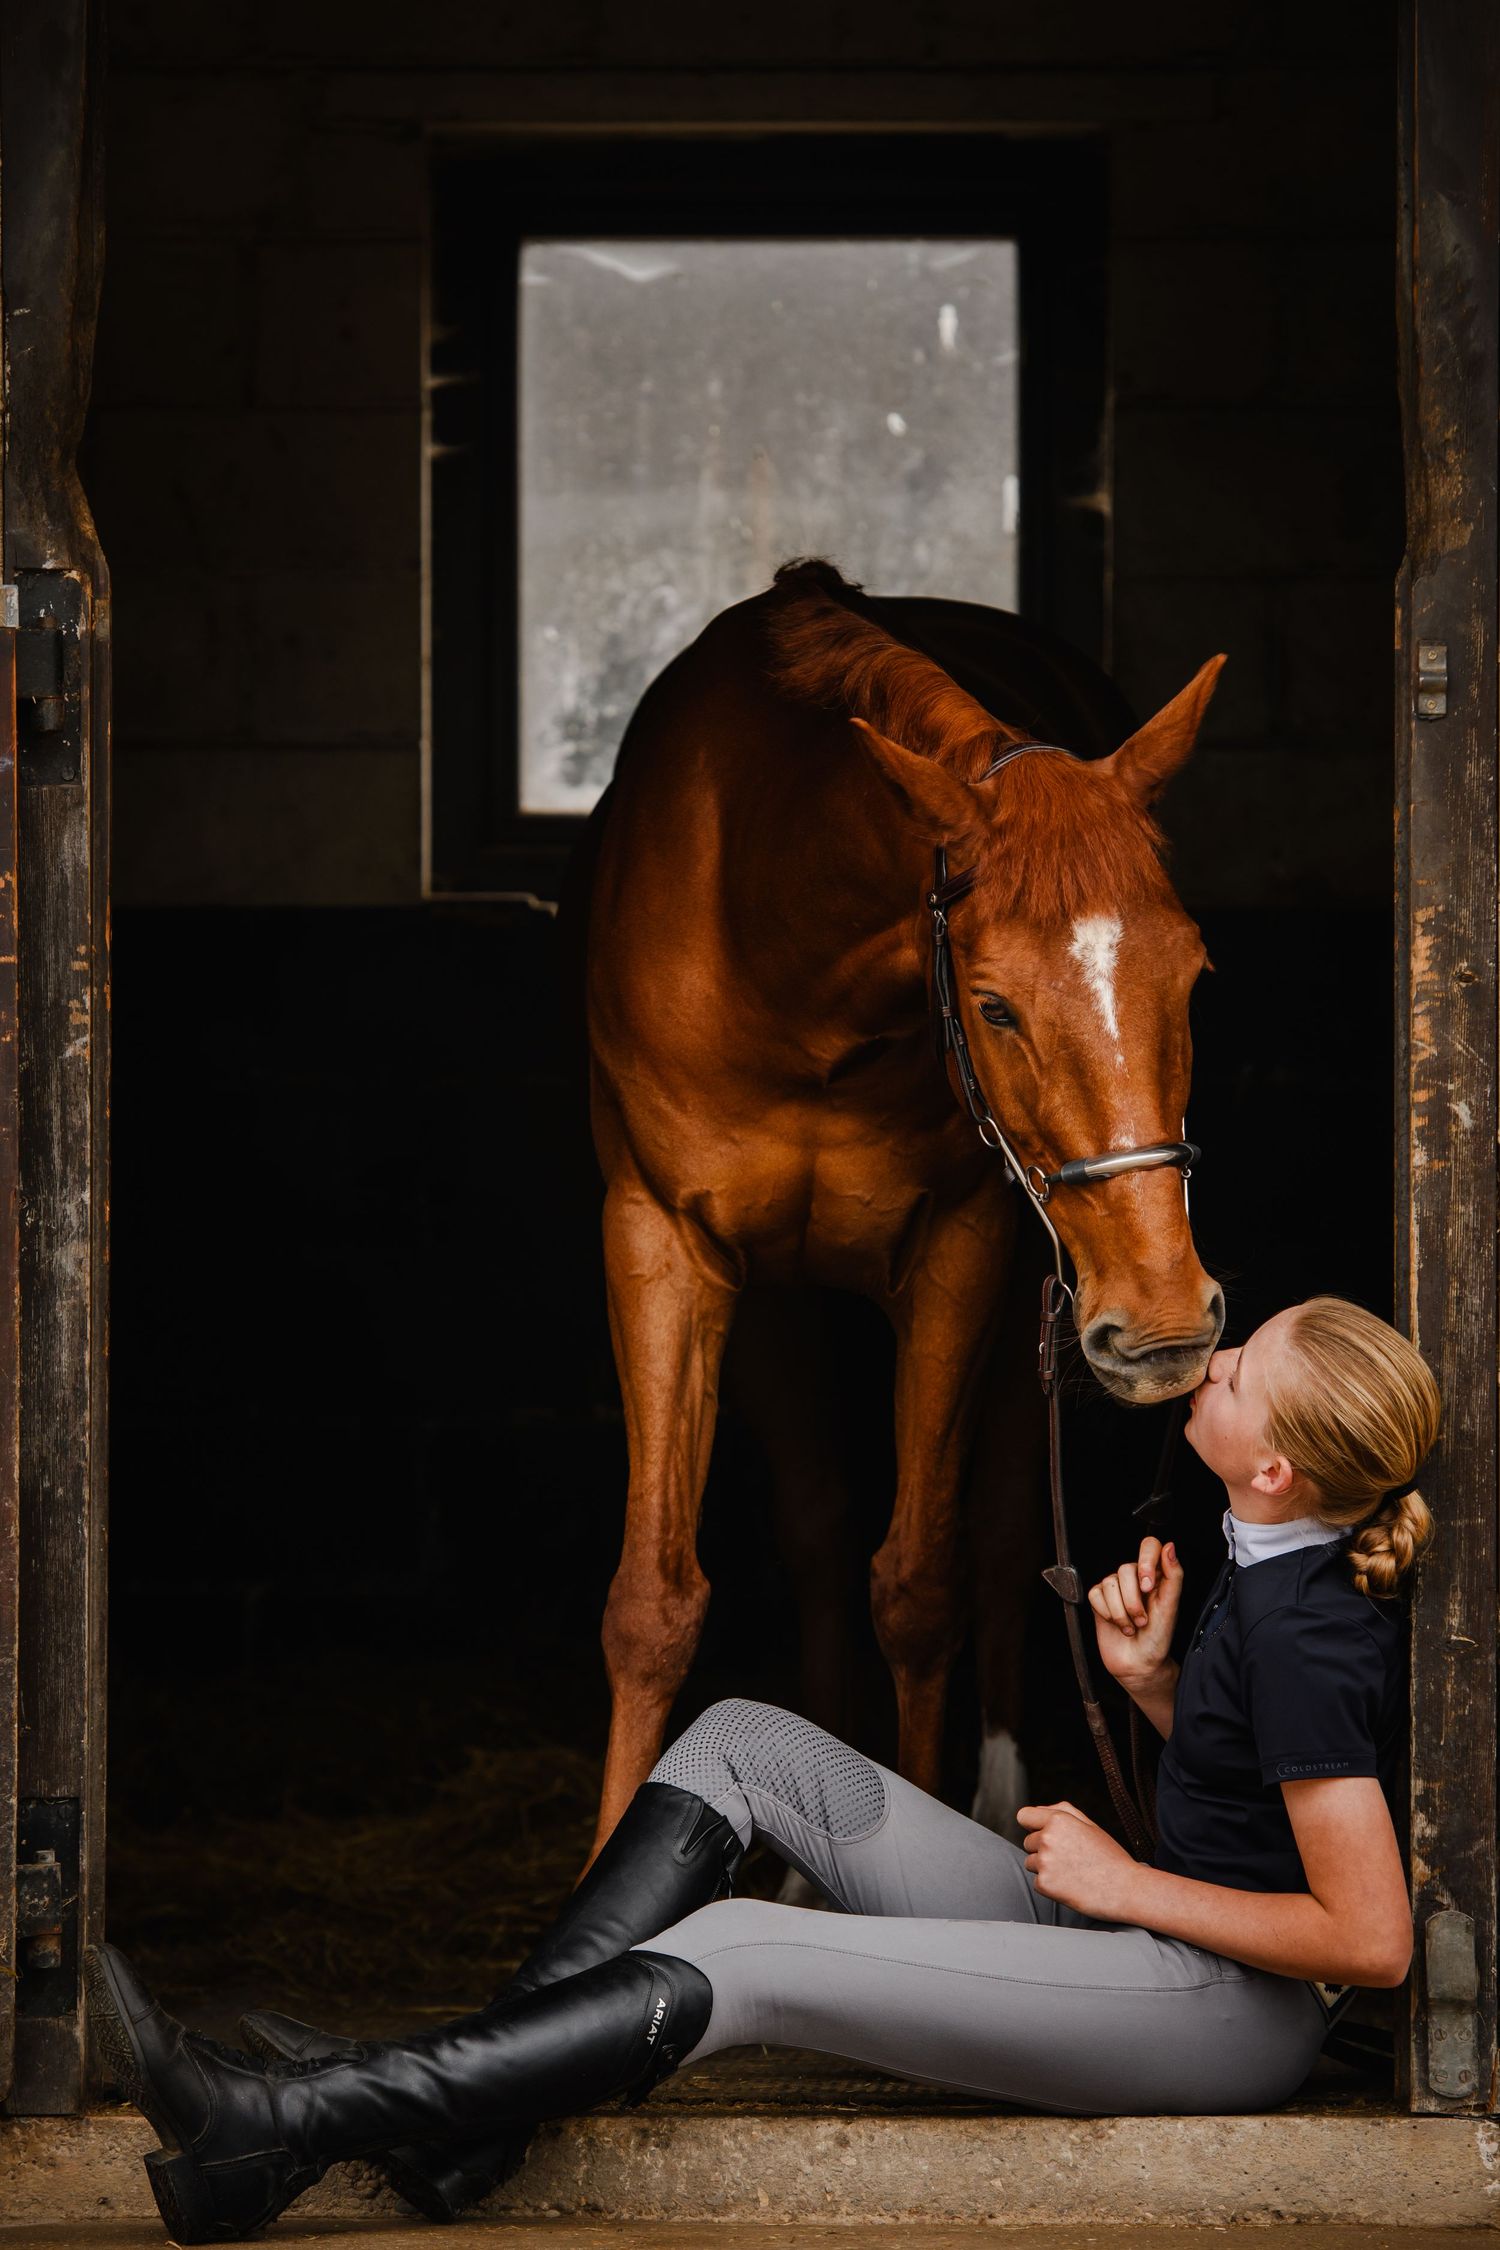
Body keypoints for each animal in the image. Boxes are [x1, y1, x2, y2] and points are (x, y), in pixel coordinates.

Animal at [581, 558, 1226, 1857]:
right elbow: (654, 1599)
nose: (1167, 1324)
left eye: (1191, 976)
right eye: (994, 1004)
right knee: (819, 1531)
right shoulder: (663, 1242)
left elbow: (921, 1585)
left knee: (1003, 1534)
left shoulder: (960, 1254)